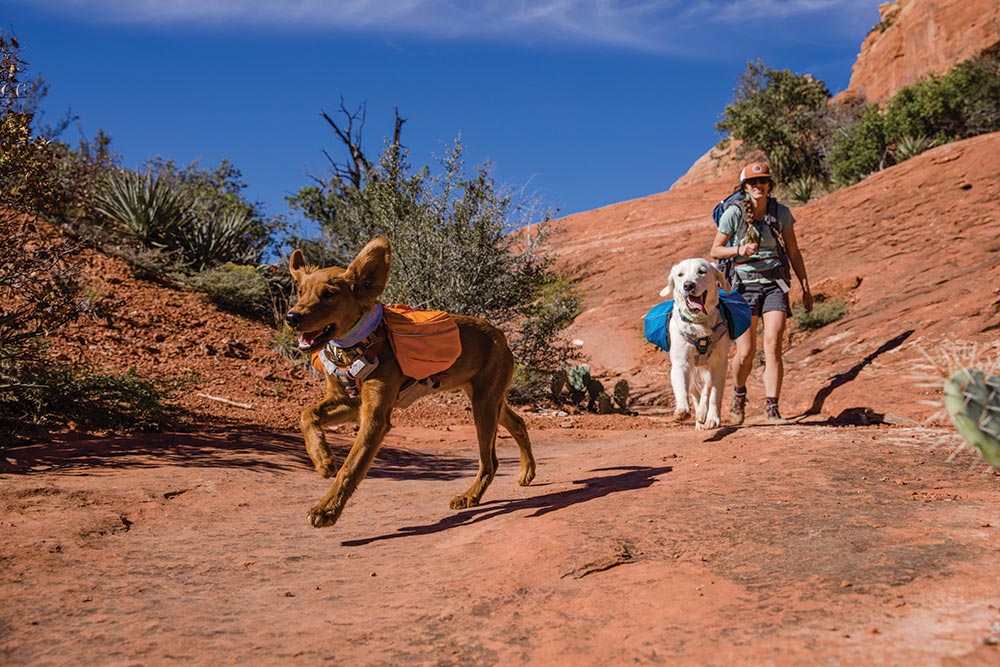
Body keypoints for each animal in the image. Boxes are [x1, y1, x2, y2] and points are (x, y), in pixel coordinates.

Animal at [286, 237, 536, 528]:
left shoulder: (375, 417)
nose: (291, 317)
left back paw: (470, 496)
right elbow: (307, 414)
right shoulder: (349, 401)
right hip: (490, 399)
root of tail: (499, 334)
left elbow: (351, 466)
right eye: (300, 291)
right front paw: (323, 460)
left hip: (483, 405)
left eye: (329, 294)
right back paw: (527, 472)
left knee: (490, 462)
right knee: (518, 423)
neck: (353, 347)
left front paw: (327, 509)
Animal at [660, 258, 732, 430]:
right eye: (680, 275)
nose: (688, 285)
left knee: (706, 389)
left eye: (702, 271)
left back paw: (703, 415)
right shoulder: (681, 362)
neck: (699, 324)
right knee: (694, 391)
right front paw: (682, 410)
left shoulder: (719, 363)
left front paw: (712, 418)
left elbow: (714, 393)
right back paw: (699, 418)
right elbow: (682, 387)